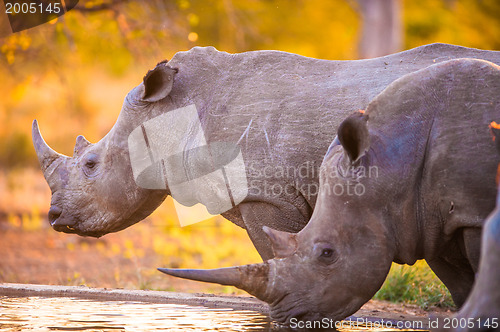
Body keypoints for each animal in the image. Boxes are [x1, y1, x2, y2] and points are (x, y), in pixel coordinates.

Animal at [158, 57, 500, 324]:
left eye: (327, 254)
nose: (289, 319)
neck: (395, 163)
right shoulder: (431, 218)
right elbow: (462, 286)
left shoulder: (472, 213)